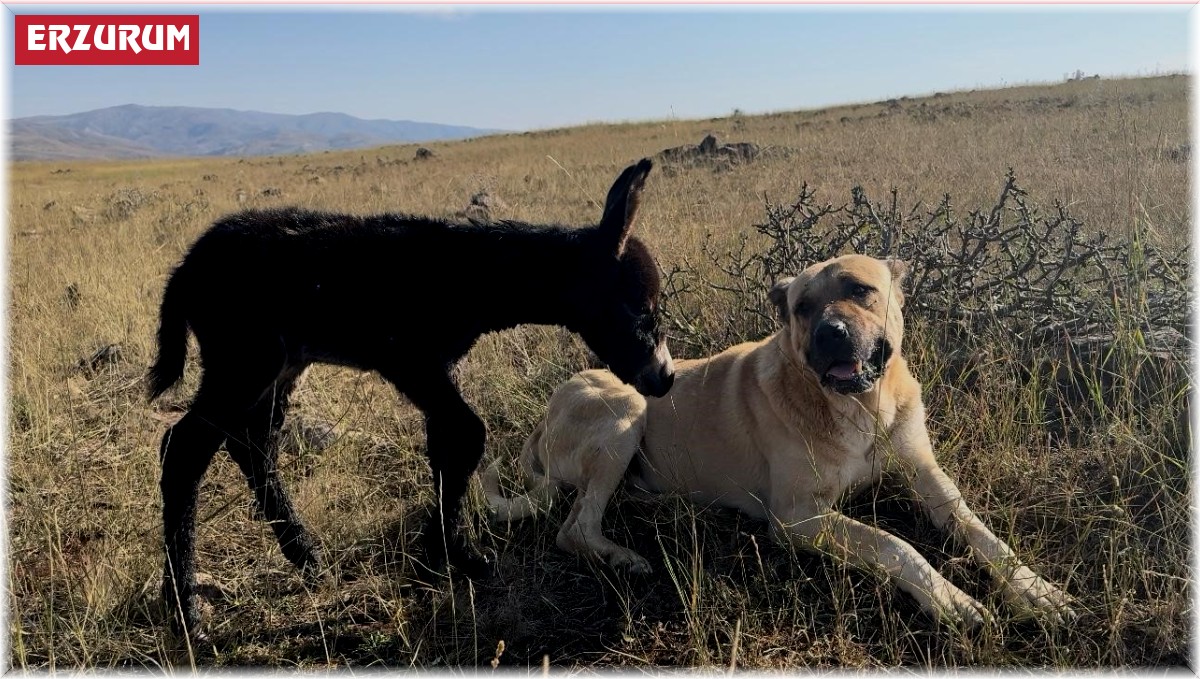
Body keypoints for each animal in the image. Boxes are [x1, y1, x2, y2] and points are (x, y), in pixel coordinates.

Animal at [147, 158, 676, 638]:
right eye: (640, 309)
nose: (664, 378)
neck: (473, 276)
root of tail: (186, 267)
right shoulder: (409, 361)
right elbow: (468, 435)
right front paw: (451, 555)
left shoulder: (438, 369)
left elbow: (447, 445)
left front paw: (444, 557)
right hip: (242, 360)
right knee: (184, 450)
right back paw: (186, 613)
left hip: (278, 367)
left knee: (253, 444)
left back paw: (307, 558)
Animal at [482, 254, 1075, 628]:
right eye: (802, 307)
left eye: (860, 290)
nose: (831, 333)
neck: (861, 408)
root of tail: (543, 418)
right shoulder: (795, 518)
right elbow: (894, 544)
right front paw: (952, 600)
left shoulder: (927, 476)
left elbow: (980, 532)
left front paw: (1035, 589)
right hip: (625, 409)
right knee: (574, 527)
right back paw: (623, 557)